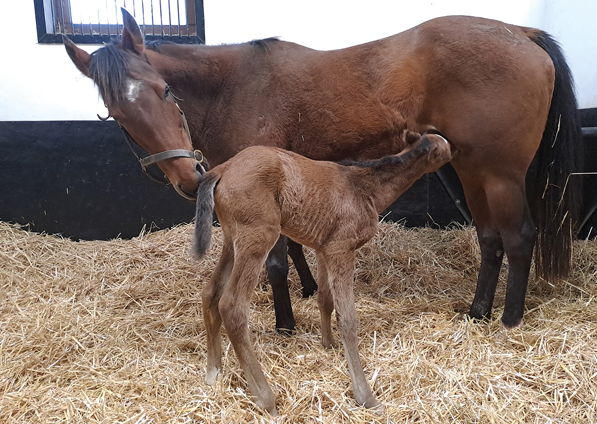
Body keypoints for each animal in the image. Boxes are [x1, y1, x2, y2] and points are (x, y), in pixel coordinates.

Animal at [62, 10, 580, 332]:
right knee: (490, 239)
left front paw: (285, 322)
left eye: (165, 90)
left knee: (518, 238)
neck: (233, 86)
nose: (189, 176)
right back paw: (478, 311)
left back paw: (509, 318)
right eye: (119, 116)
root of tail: (521, 32)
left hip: (499, 175)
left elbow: (274, 260)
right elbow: (293, 246)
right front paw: (310, 288)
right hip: (471, 170)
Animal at [193, 133, 450, 414]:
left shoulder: (323, 249)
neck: (365, 187)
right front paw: (365, 396)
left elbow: (325, 300)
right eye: (444, 148)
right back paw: (266, 398)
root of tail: (222, 169)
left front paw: (329, 345)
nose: (454, 155)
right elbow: (347, 319)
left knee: (210, 293)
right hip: (258, 235)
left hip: (232, 239)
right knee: (232, 305)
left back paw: (213, 373)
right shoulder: (342, 248)